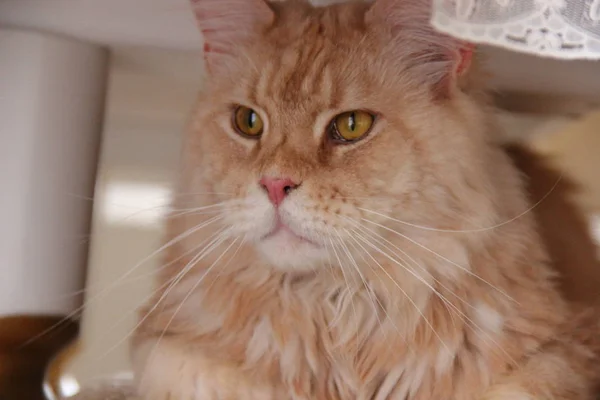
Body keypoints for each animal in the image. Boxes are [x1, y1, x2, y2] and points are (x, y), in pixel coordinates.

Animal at [120, 0, 600, 400]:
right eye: (248, 122)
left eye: (352, 125)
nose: (274, 184)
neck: (337, 308)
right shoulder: (165, 346)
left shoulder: (561, 350)